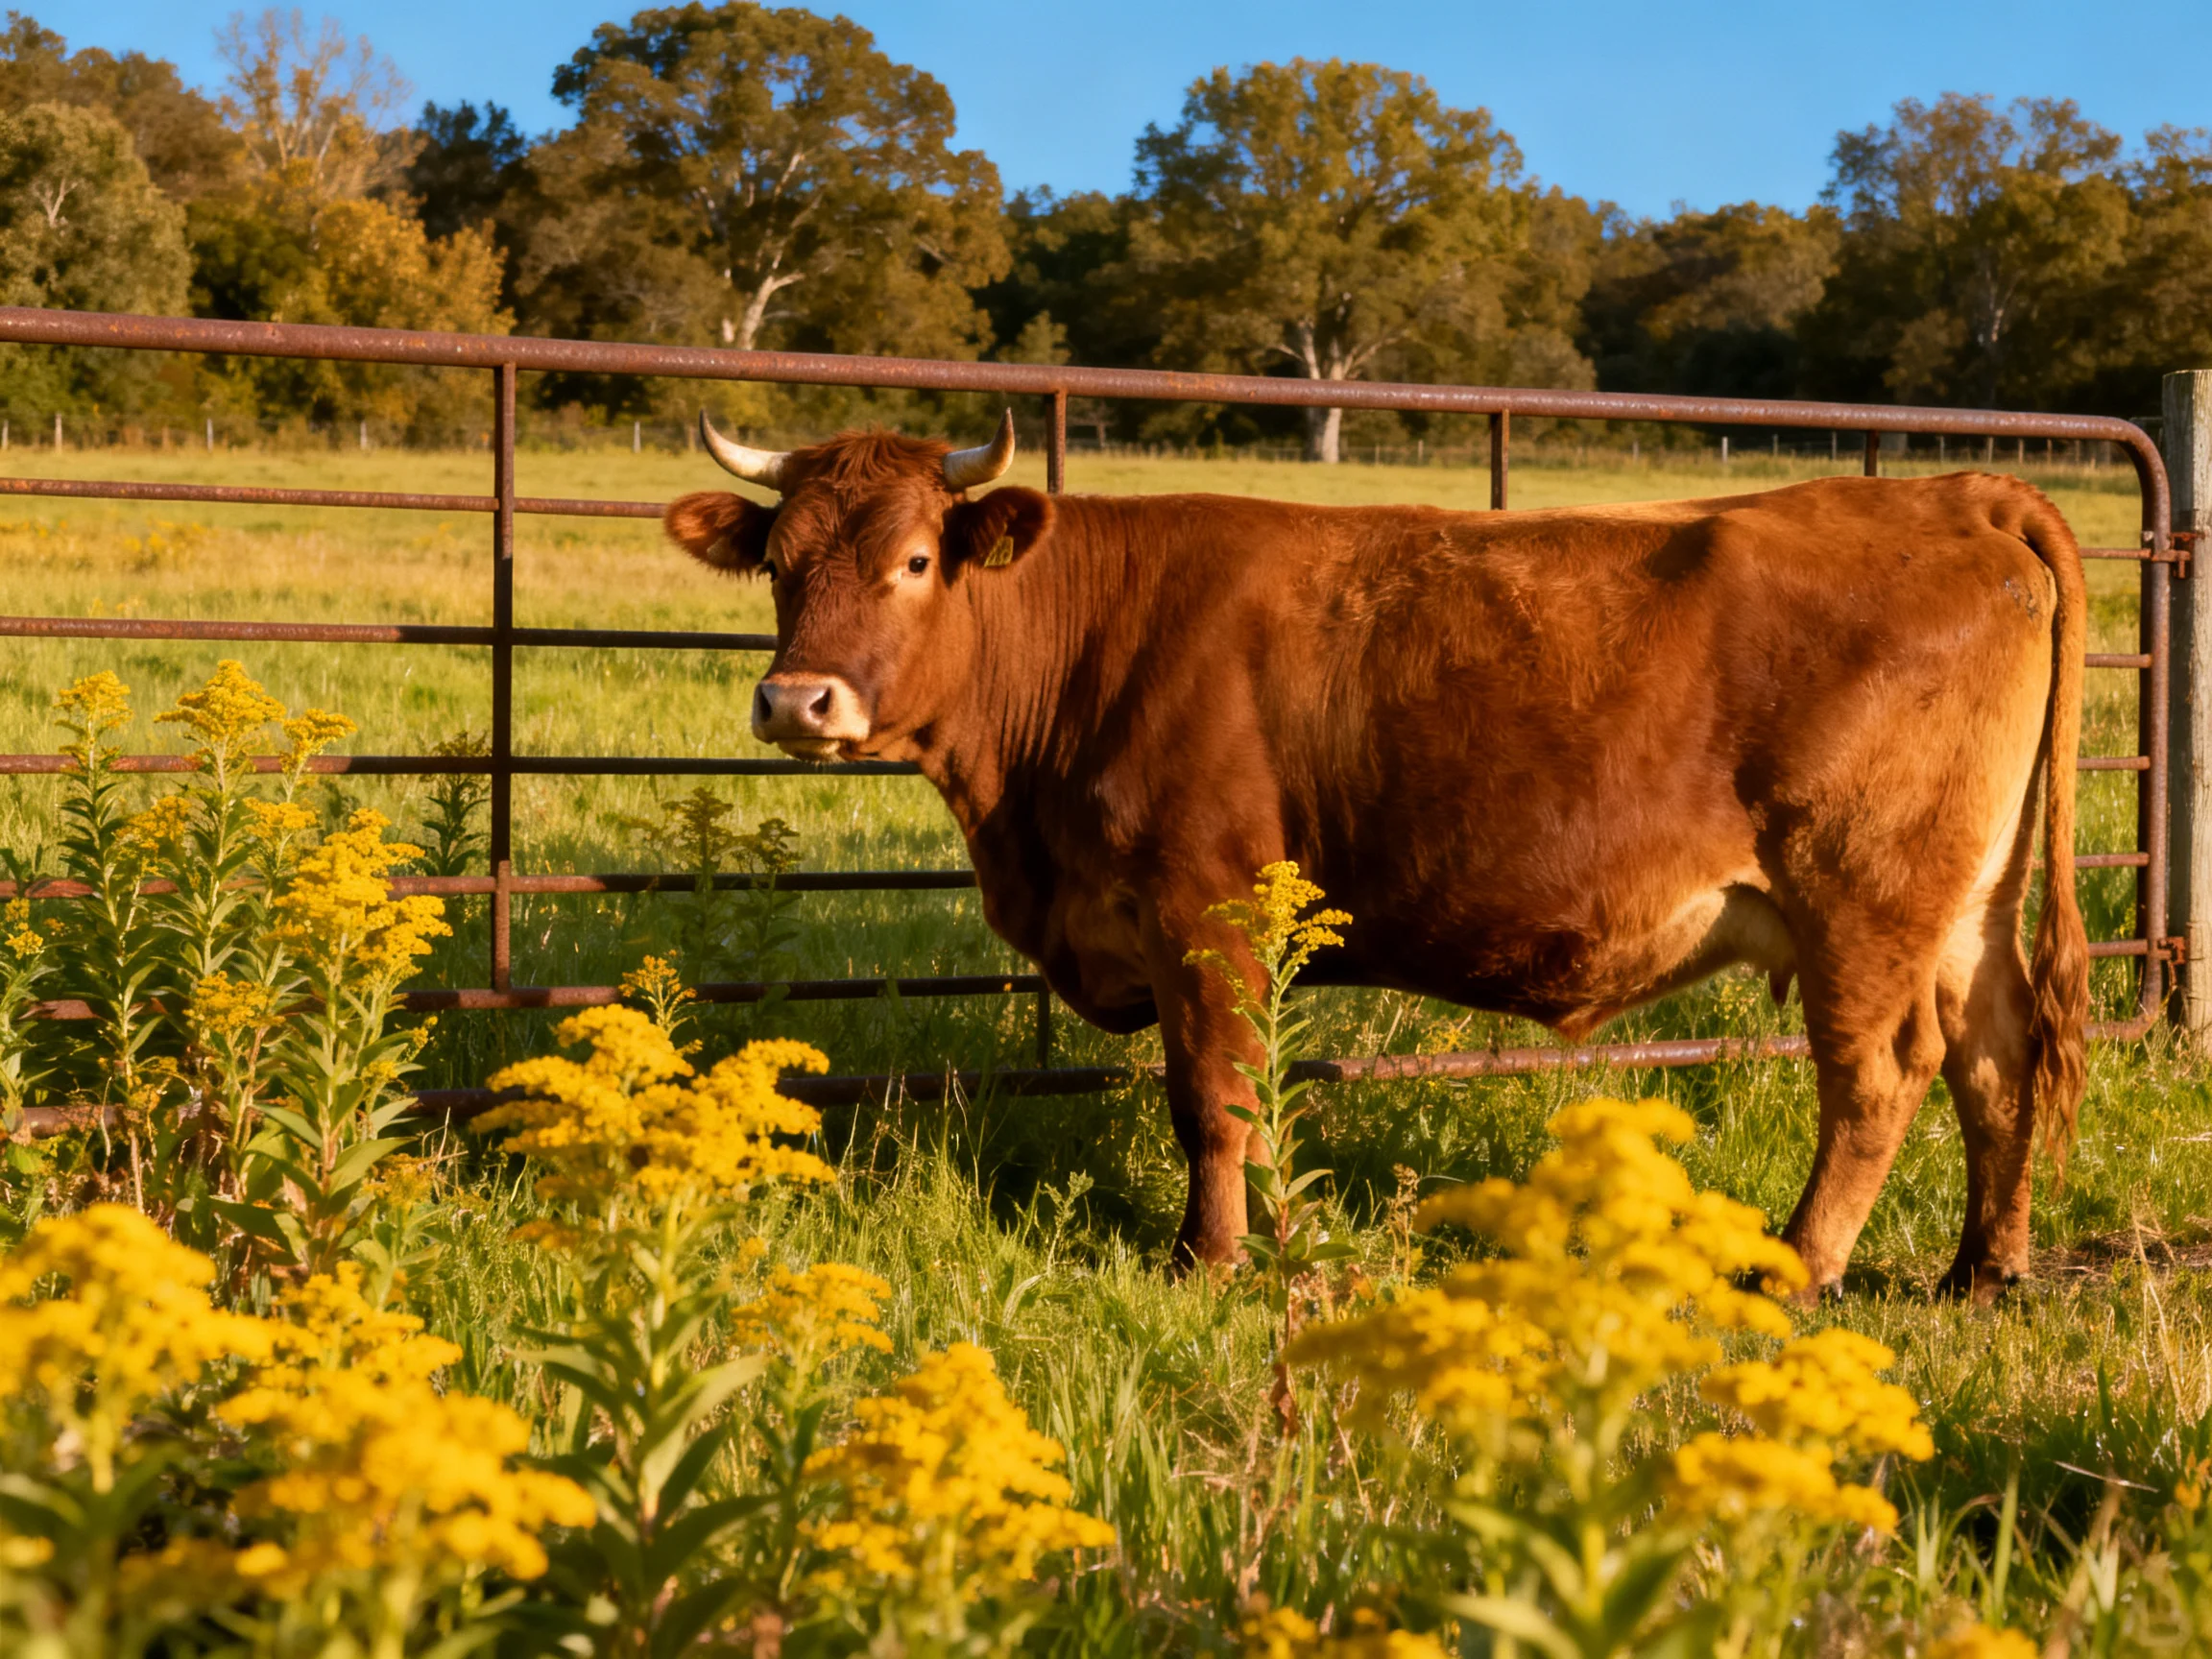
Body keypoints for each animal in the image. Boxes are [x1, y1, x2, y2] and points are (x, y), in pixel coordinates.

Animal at [663, 409, 2088, 1302]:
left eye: (913, 559)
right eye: (780, 566)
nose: (797, 702)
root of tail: (1957, 492)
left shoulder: (1203, 908)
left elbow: (1211, 1098)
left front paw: (1207, 1259)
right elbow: (1256, 1098)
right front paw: (1274, 1234)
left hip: (1863, 897)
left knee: (1881, 1076)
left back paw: (1797, 1269)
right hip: (1966, 907)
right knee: (1997, 1056)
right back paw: (1984, 1269)